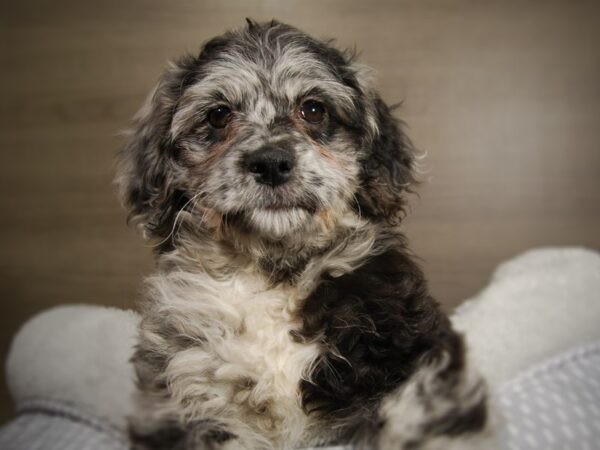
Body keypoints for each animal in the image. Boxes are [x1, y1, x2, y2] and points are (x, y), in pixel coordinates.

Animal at [117, 19, 492, 448]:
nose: (270, 162)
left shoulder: (414, 364)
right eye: (218, 115)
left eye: (313, 109)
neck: (273, 273)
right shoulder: (182, 383)